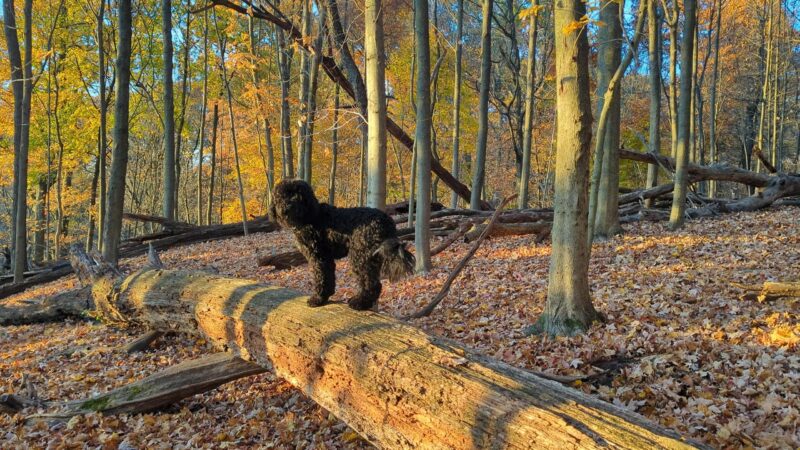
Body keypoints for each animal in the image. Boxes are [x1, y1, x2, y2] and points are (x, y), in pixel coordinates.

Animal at [272, 179, 416, 310]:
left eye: (298, 196)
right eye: (281, 196)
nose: (287, 208)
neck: (311, 217)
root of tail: (387, 220)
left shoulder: (319, 257)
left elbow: (321, 277)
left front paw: (318, 299)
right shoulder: (326, 258)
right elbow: (328, 278)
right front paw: (325, 296)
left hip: (360, 256)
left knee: (370, 283)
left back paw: (359, 303)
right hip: (372, 256)